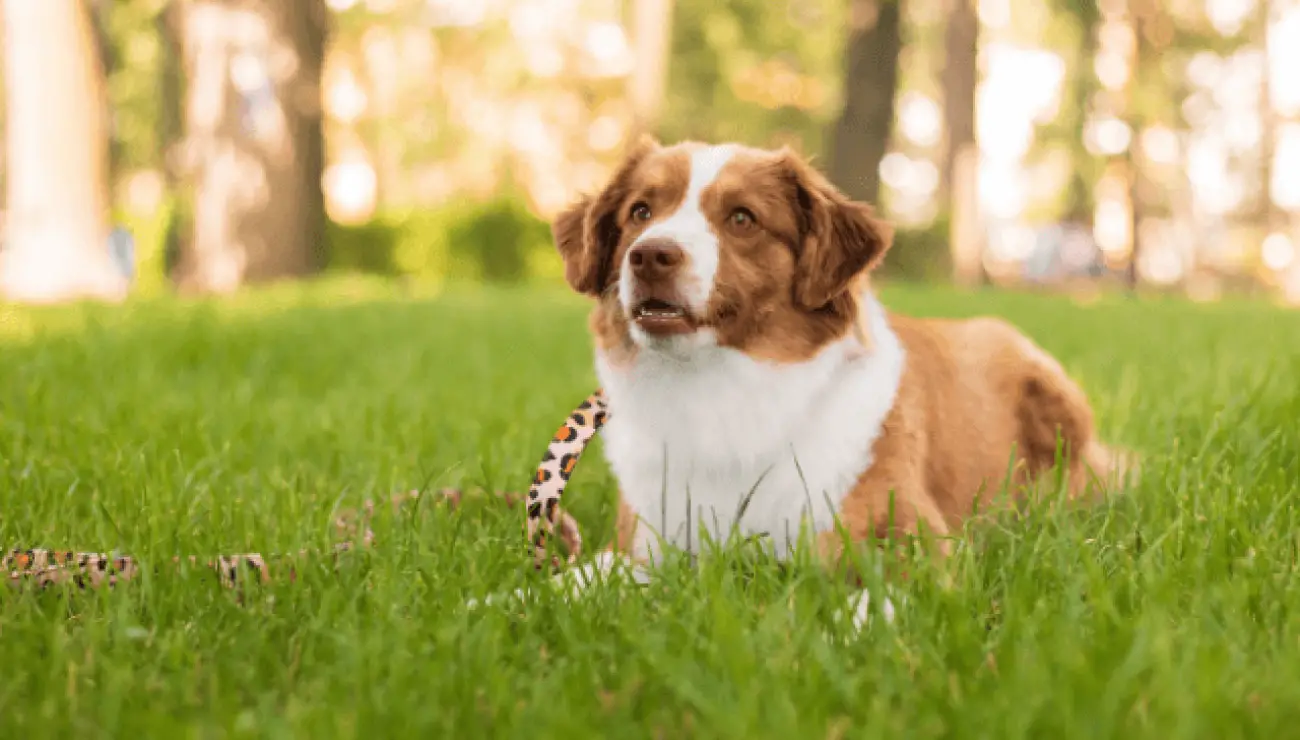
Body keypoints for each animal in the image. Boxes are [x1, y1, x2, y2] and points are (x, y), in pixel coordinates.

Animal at [491, 137, 1133, 624]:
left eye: (742, 218)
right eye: (640, 212)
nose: (650, 255)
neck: (720, 389)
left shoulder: (915, 541)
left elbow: (873, 604)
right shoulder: (642, 548)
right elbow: (565, 584)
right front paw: (501, 606)